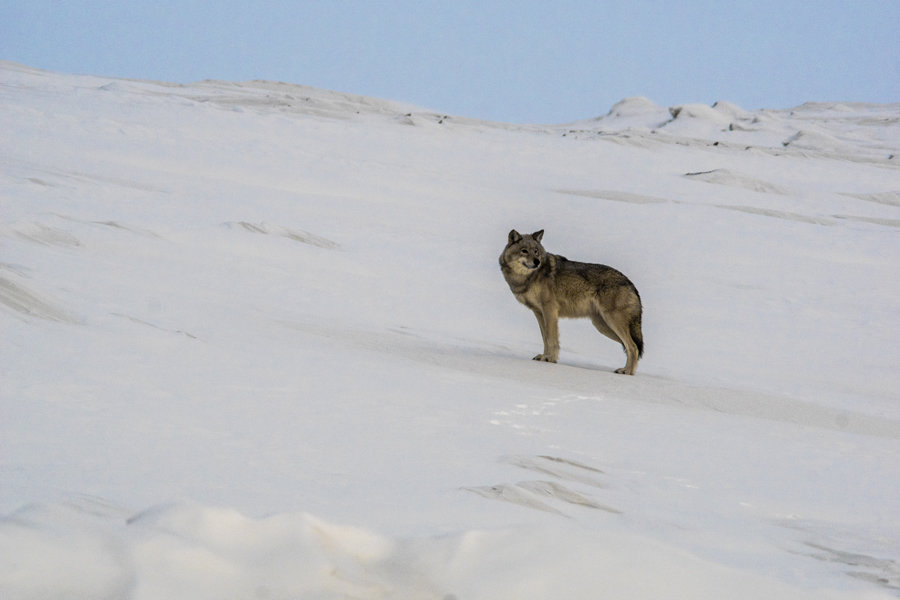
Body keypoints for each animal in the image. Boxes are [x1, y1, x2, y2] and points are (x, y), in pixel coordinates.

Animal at [502, 230, 644, 376]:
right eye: (524, 251)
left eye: (536, 251)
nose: (537, 262)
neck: (528, 277)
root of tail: (631, 284)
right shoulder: (539, 313)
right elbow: (545, 338)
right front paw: (544, 357)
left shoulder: (550, 310)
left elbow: (551, 338)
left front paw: (549, 358)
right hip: (603, 326)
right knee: (631, 347)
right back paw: (629, 371)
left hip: (612, 323)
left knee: (633, 347)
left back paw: (626, 371)